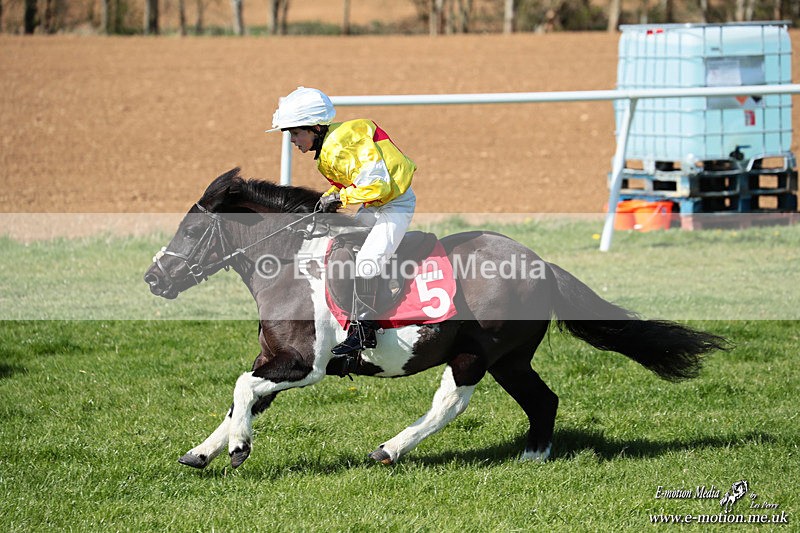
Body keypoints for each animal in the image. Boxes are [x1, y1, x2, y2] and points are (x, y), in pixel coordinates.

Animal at [144, 168, 728, 470]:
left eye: (190, 231)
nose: (153, 278)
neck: (291, 263)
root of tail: (540, 263)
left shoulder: (303, 366)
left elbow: (243, 388)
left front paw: (238, 449)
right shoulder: (275, 358)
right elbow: (240, 398)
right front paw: (203, 451)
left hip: (476, 352)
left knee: (451, 402)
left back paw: (390, 448)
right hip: (511, 359)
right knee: (543, 399)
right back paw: (533, 456)